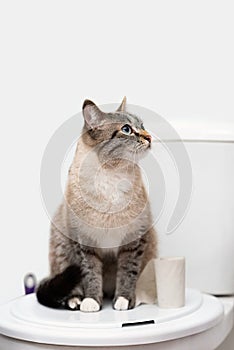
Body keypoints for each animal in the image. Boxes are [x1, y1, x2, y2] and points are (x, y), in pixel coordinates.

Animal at [36, 98, 157, 312]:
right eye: (126, 129)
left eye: (142, 126)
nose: (149, 137)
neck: (111, 175)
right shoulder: (84, 244)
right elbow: (90, 274)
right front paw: (92, 301)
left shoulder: (134, 241)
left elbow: (127, 273)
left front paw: (124, 300)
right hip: (62, 250)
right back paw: (75, 301)